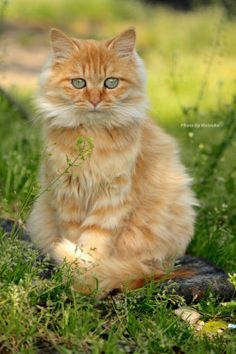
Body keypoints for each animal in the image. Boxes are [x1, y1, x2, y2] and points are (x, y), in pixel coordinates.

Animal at [26, 27, 196, 294]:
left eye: (111, 82)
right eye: (79, 83)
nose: (95, 100)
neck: (92, 139)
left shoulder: (113, 197)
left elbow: (94, 243)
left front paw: (85, 277)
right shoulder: (68, 195)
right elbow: (75, 237)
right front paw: (75, 275)